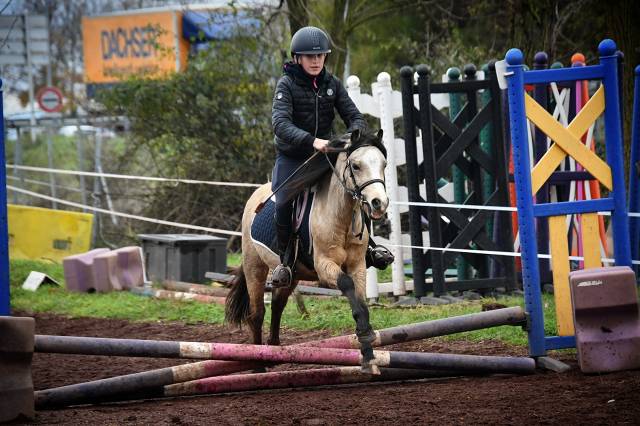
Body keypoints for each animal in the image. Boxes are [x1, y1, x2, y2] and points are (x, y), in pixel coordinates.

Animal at [224, 129, 389, 370]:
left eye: (384, 164)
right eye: (356, 166)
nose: (379, 203)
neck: (341, 216)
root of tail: (256, 193)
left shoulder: (358, 265)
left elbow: (361, 304)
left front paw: (368, 352)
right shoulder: (324, 265)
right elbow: (346, 285)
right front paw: (366, 337)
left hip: (291, 275)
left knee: (277, 305)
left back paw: (274, 349)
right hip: (254, 266)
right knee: (257, 313)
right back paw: (259, 362)